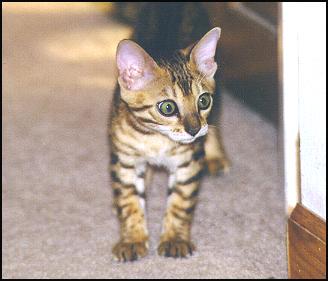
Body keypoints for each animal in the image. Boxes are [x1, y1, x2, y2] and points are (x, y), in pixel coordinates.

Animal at [109, 3, 229, 260]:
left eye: (203, 101)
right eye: (167, 107)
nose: (194, 130)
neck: (156, 138)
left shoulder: (189, 162)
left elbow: (180, 203)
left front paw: (174, 239)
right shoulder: (125, 160)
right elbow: (129, 201)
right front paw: (132, 239)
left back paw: (215, 156)